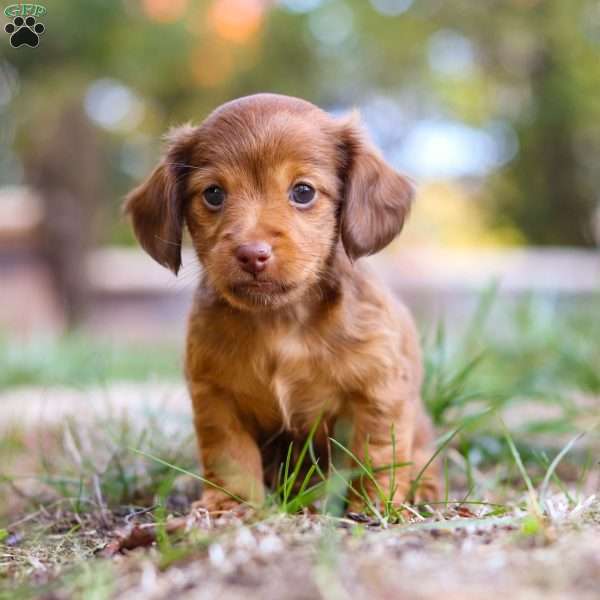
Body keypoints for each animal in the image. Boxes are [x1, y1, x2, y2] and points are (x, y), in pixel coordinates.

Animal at [124, 92, 440, 510]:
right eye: (213, 194)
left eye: (303, 192)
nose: (252, 254)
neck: (282, 320)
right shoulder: (216, 396)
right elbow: (229, 455)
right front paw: (231, 506)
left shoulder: (378, 391)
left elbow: (375, 453)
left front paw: (372, 506)